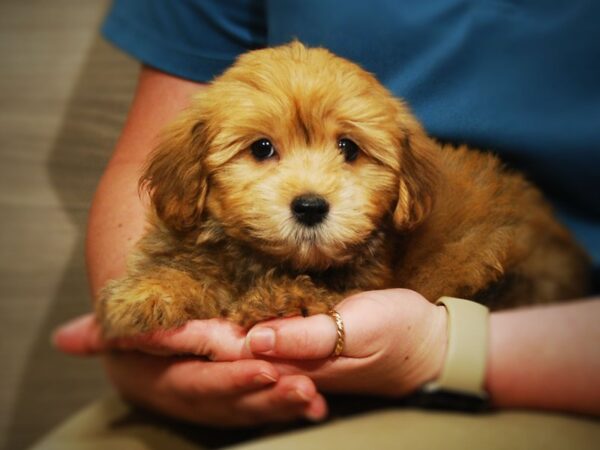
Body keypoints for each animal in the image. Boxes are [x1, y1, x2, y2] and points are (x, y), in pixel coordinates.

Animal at [98, 41, 592, 338]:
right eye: (262, 148)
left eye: (348, 148)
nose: (310, 206)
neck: (266, 259)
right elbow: (180, 269)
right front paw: (146, 294)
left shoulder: (361, 282)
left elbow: (309, 293)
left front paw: (280, 298)